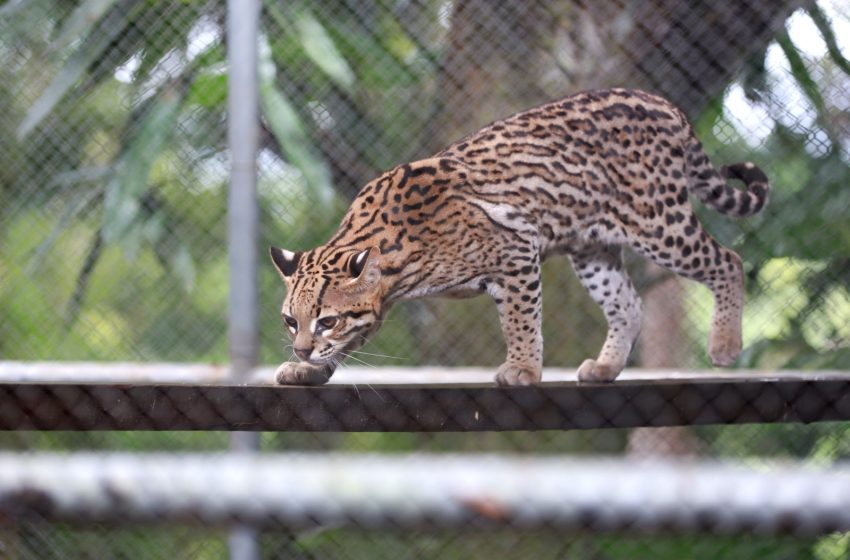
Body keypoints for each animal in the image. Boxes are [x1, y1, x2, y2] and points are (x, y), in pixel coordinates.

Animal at [268, 88, 764, 384]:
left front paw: (523, 367)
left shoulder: (516, 253)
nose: (301, 348)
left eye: (327, 320)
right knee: (629, 304)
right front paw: (308, 369)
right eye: (290, 321)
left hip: (658, 223)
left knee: (729, 260)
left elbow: (520, 320)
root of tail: (663, 103)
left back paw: (725, 344)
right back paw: (606, 366)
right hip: (592, 249)